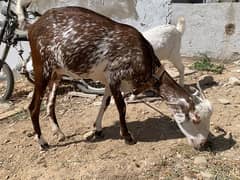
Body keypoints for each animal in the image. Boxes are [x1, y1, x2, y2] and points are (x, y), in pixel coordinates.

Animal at [27, 6, 212, 150]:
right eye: (195, 120)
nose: (203, 144)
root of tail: (33, 26)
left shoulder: (108, 81)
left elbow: (105, 103)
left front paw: (98, 128)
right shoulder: (115, 76)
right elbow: (121, 107)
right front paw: (127, 137)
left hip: (57, 73)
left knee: (50, 104)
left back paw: (59, 132)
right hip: (42, 67)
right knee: (33, 106)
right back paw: (42, 142)